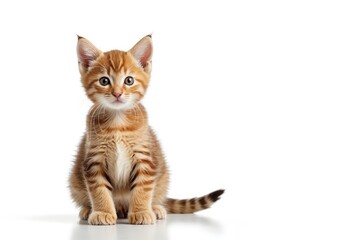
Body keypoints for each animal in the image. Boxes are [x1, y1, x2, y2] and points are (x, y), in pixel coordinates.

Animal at [68, 35, 224, 225]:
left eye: (129, 80)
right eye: (104, 81)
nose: (117, 93)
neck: (118, 122)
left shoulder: (145, 158)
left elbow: (143, 188)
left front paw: (141, 211)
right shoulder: (93, 160)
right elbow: (98, 189)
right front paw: (103, 212)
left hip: (163, 176)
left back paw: (155, 208)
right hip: (75, 181)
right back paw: (88, 209)